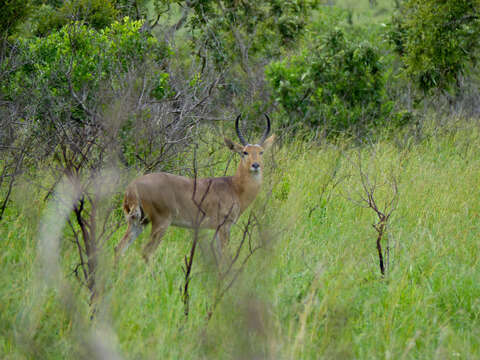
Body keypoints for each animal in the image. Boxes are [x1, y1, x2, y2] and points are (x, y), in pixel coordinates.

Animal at [114, 113, 276, 262]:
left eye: (261, 152)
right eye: (244, 152)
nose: (256, 165)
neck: (234, 187)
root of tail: (132, 186)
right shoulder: (224, 227)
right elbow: (225, 257)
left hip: (139, 222)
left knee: (119, 248)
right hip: (160, 222)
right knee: (146, 252)